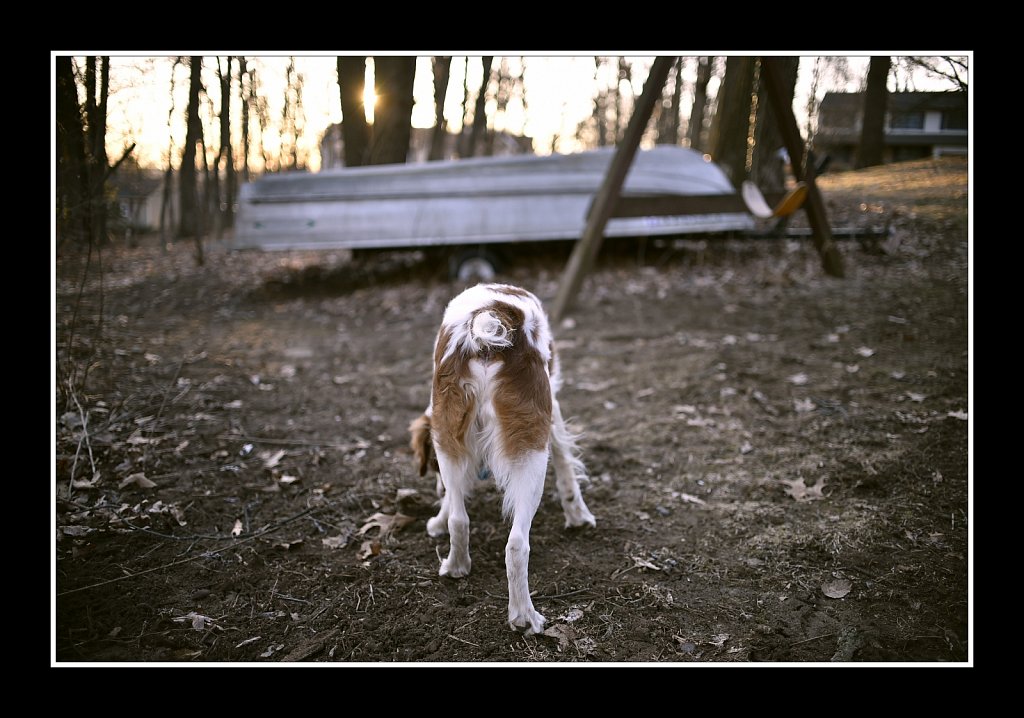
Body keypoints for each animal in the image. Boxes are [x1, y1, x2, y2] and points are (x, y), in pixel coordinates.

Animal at [411, 282, 598, 630]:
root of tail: (490, 320)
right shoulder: (552, 409)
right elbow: (565, 461)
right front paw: (577, 514)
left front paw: (439, 519)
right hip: (531, 453)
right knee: (516, 544)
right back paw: (524, 616)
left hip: (448, 434)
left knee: (461, 520)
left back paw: (456, 567)